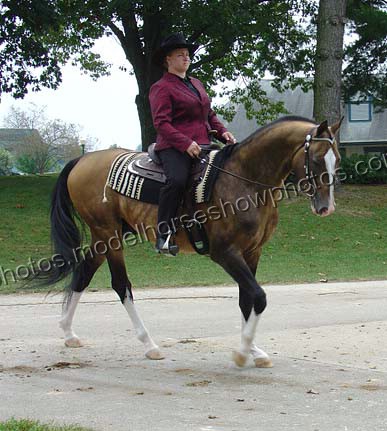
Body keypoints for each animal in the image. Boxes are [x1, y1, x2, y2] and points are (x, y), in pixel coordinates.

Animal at [32, 116, 342, 370]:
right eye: (316, 159)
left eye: (336, 159)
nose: (326, 207)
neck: (246, 180)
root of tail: (82, 160)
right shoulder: (225, 253)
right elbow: (258, 296)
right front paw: (243, 352)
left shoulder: (252, 252)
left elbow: (247, 298)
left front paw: (253, 349)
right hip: (109, 235)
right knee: (121, 286)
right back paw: (149, 344)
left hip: (103, 238)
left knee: (83, 273)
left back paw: (68, 332)